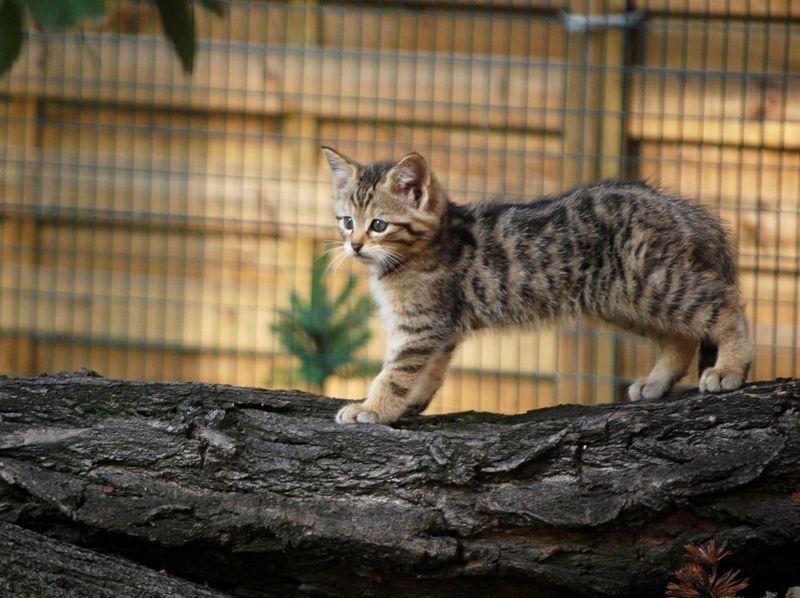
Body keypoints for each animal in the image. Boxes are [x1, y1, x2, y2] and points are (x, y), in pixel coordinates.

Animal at [318, 147, 752, 424]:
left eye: (379, 225)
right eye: (346, 222)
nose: (354, 246)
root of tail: (680, 209)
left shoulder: (421, 326)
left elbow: (395, 372)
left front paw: (373, 409)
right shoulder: (441, 327)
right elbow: (428, 372)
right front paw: (408, 404)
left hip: (649, 281)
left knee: (725, 304)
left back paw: (731, 366)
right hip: (622, 299)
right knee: (682, 336)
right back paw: (657, 381)